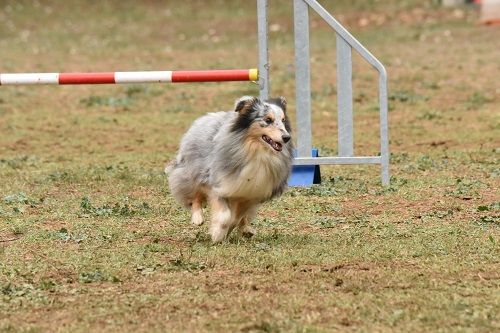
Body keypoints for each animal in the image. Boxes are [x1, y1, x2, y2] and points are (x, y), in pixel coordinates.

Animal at [167, 95, 292, 241]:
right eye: (268, 120)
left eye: (283, 120)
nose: (287, 137)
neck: (256, 151)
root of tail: (208, 116)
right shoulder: (219, 185)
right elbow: (225, 216)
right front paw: (217, 234)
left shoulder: (250, 194)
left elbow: (237, 218)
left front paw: (230, 230)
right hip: (194, 171)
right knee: (195, 195)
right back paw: (197, 218)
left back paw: (246, 230)